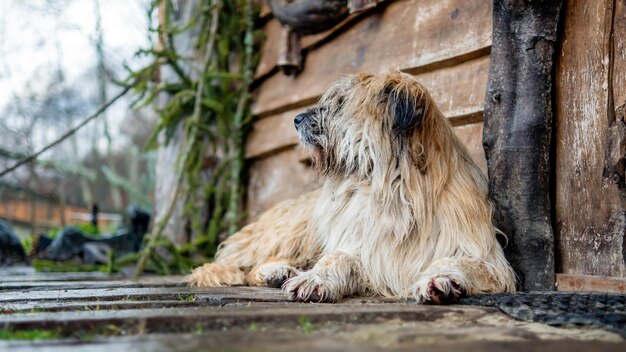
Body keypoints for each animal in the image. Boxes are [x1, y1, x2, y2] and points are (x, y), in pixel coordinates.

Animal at [188, 71, 516, 302]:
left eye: (341, 104)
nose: (296, 118)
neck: (395, 188)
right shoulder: (361, 244)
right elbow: (340, 256)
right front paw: (316, 278)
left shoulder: (485, 256)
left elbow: (463, 262)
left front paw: (442, 280)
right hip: (294, 229)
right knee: (244, 263)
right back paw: (274, 271)